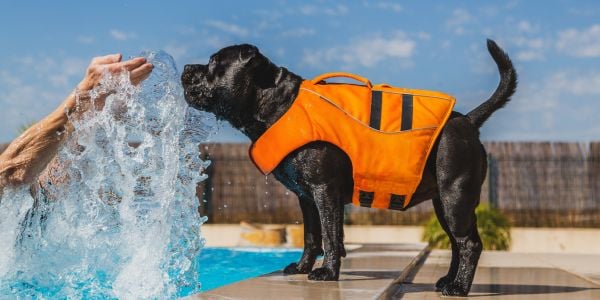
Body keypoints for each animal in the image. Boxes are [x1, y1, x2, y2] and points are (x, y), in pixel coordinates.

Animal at [182, 40, 516, 298]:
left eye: (213, 62)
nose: (186, 68)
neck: (278, 103)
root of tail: (468, 121)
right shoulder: (307, 198)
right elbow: (312, 236)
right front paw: (303, 268)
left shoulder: (324, 190)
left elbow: (331, 236)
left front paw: (327, 272)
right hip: (445, 205)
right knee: (457, 244)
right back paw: (449, 280)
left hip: (455, 198)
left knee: (469, 243)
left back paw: (459, 288)